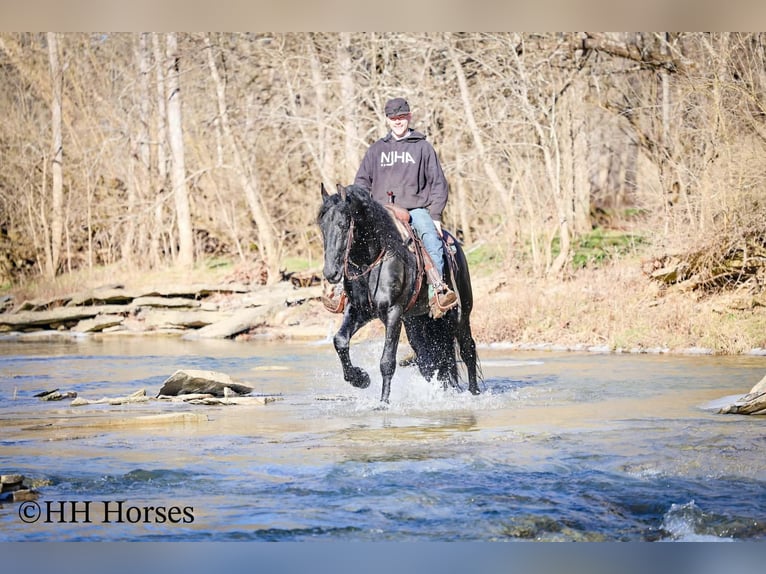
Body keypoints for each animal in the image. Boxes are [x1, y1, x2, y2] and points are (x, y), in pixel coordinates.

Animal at [317, 182, 480, 404]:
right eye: (322, 227)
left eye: (343, 225)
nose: (331, 273)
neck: (372, 260)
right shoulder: (359, 310)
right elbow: (340, 341)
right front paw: (360, 378)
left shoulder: (393, 312)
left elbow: (387, 361)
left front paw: (383, 402)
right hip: (416, 322)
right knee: (430, 359)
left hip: (460, 315)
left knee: (467, 349)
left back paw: (474, 393)